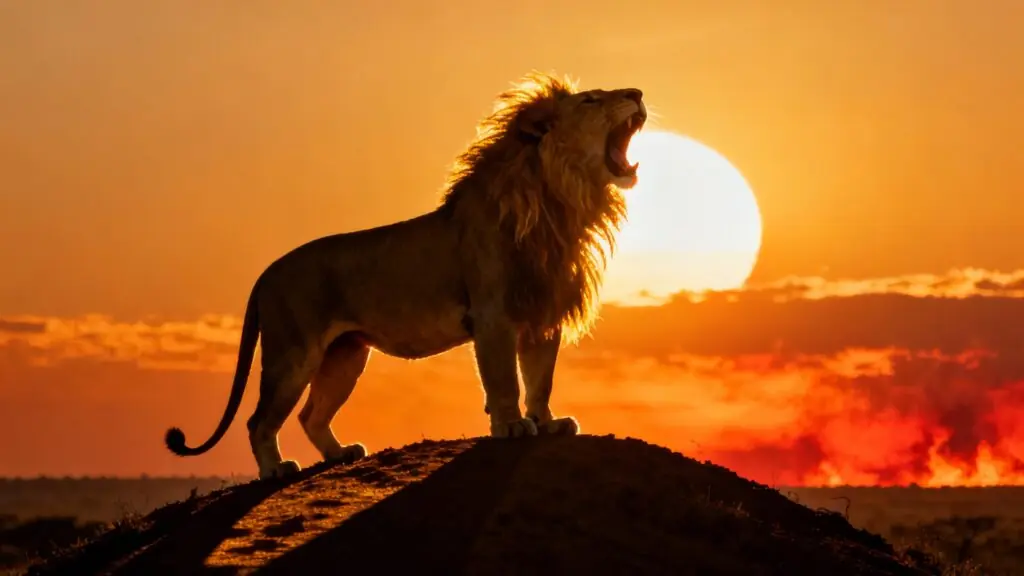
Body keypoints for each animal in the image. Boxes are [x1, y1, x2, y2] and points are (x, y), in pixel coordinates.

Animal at [164, 72, 647, 479]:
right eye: (590, 100)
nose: (638, 92)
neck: (560, 203)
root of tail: (265, 273)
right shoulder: (494, 316)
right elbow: (505, 380)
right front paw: (511, 426)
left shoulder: (541, 317)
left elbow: (540, 381)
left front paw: (547, 423)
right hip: (292, 354)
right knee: (259, 420)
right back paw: (276, 469)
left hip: (345, 355)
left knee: (310, 415)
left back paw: (340, 454)